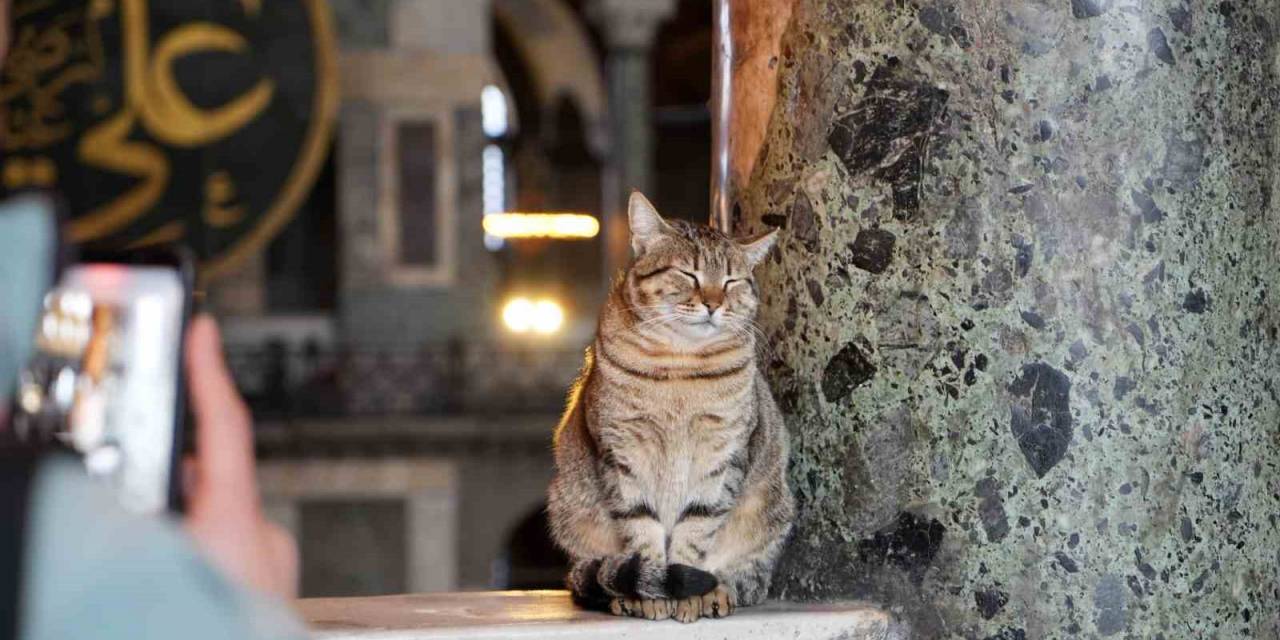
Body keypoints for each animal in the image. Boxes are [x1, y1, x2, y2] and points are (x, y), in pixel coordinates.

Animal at [547, 192, 793, 622]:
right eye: (689, 274)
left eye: (731, 281)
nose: (713, 303)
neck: (680, 363)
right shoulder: (622, 451)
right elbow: (641, 527)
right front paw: (651, 592)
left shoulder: (722, 454)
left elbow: (696, 527)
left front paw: (688, 592)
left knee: (747, 579)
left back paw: (718, 590)